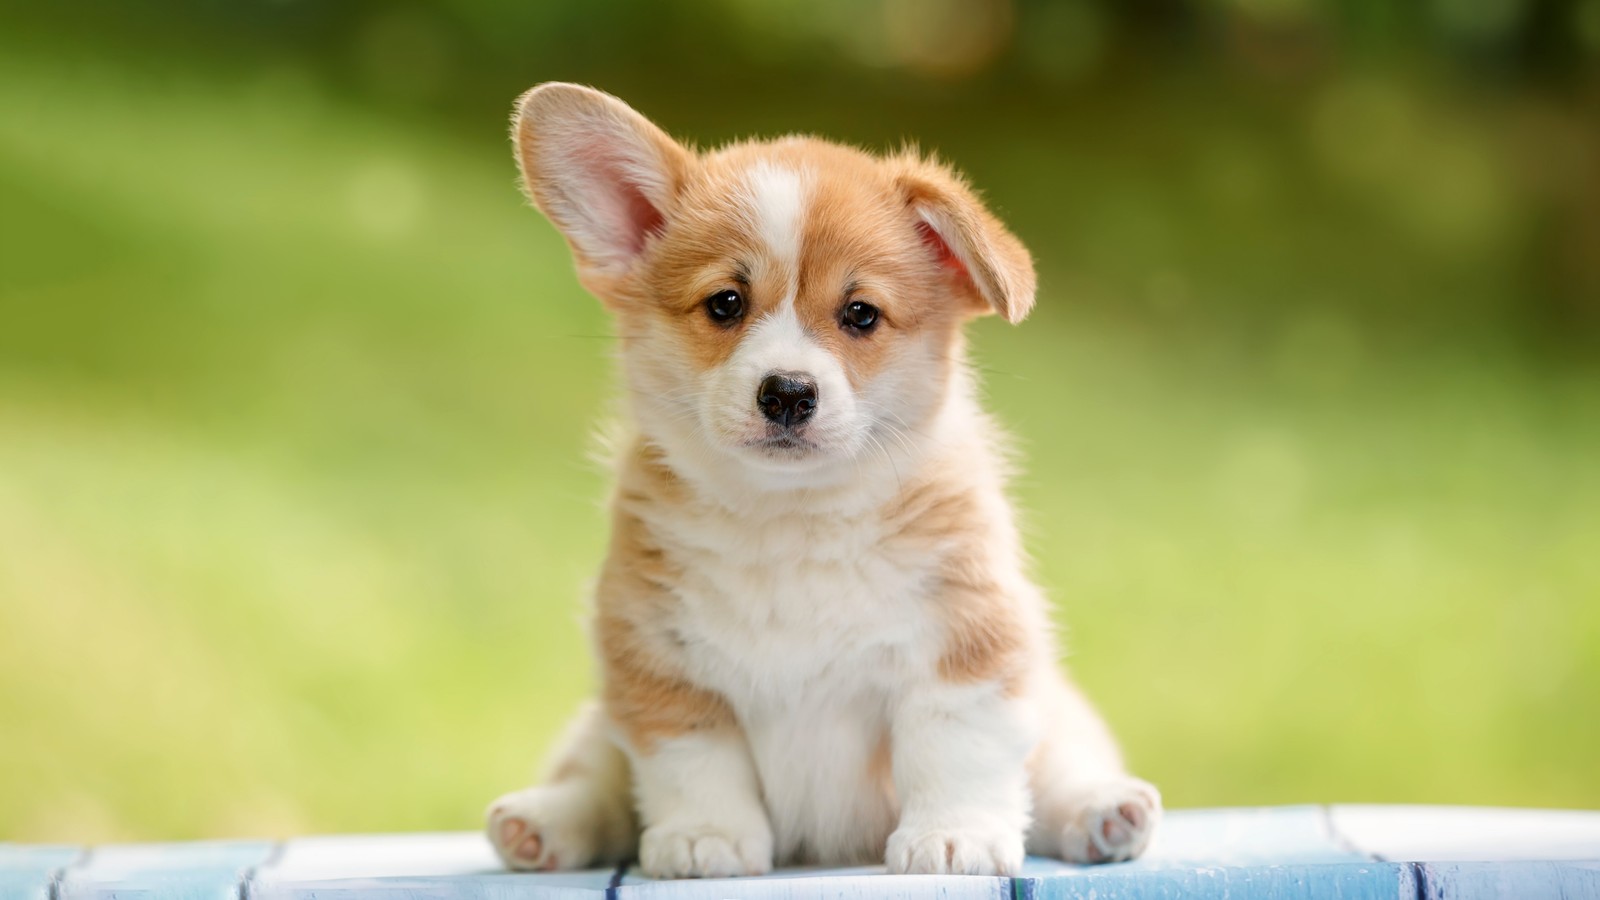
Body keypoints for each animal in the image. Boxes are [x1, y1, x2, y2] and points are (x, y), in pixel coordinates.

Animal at [480, 85, 1158, 877]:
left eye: (860, 313)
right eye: (726, 303)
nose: (787, 393)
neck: (792, 517)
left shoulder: (967, 646)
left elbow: (956, 750)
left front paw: (950, 838)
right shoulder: (657, 661)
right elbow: (694, 761)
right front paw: (705, 838)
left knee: (1054, 773)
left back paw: (1104, 811)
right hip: (596, 727)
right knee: (598, 783)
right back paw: (541, 823)